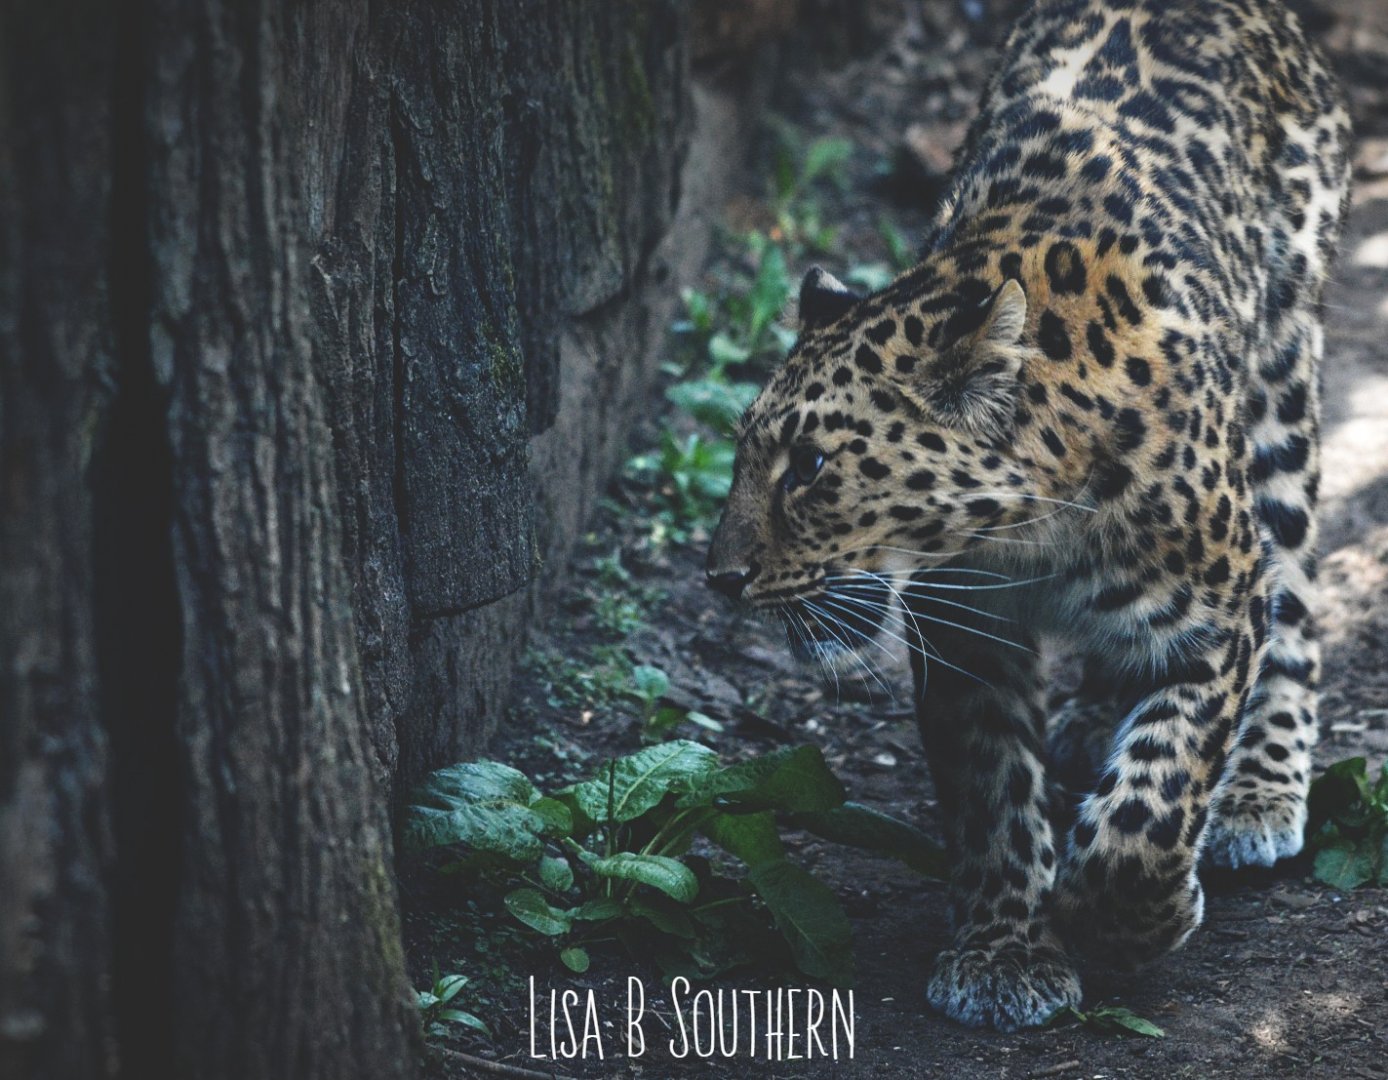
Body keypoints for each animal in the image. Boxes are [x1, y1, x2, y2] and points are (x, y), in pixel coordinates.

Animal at [704, 0, 1351, 1032]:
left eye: (810, 467)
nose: (720, 578)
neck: (1031, 533)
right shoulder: (964, 631)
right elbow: (993, 796)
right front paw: (1004, 953)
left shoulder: (1217, 617)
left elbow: (1156, 802)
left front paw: (1129, 920)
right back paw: (1095, 714)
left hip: (1284, 385)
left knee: (1293, 596)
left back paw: (1259, 788)